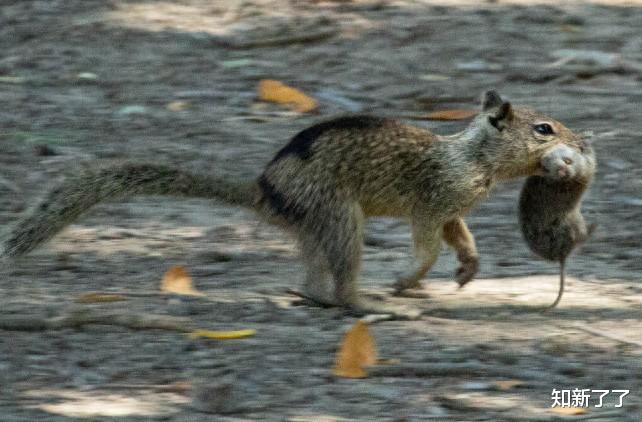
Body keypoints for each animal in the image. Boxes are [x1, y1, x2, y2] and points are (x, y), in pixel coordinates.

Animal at [1, 90, 584, 318]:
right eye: (543, 129)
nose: (580, 143)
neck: (473, 156)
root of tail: (263, 190)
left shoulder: (452, 209)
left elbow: (460, 236)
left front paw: (468, 268)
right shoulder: (433, 200)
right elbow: (427, 246)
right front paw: (408, 279)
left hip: (316, 226)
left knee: (313, 276)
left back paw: (314, 297)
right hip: (340, 216)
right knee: (343, 280)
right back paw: (369, 303)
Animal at [516, 140, 596, 308]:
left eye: (567, 161)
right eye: (549, 169)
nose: (563, 172)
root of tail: (561, 256)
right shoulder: (586, 170)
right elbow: (591, 160)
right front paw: (585, 144)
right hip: (573, 223)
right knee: (582, 238)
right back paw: (594, 226)